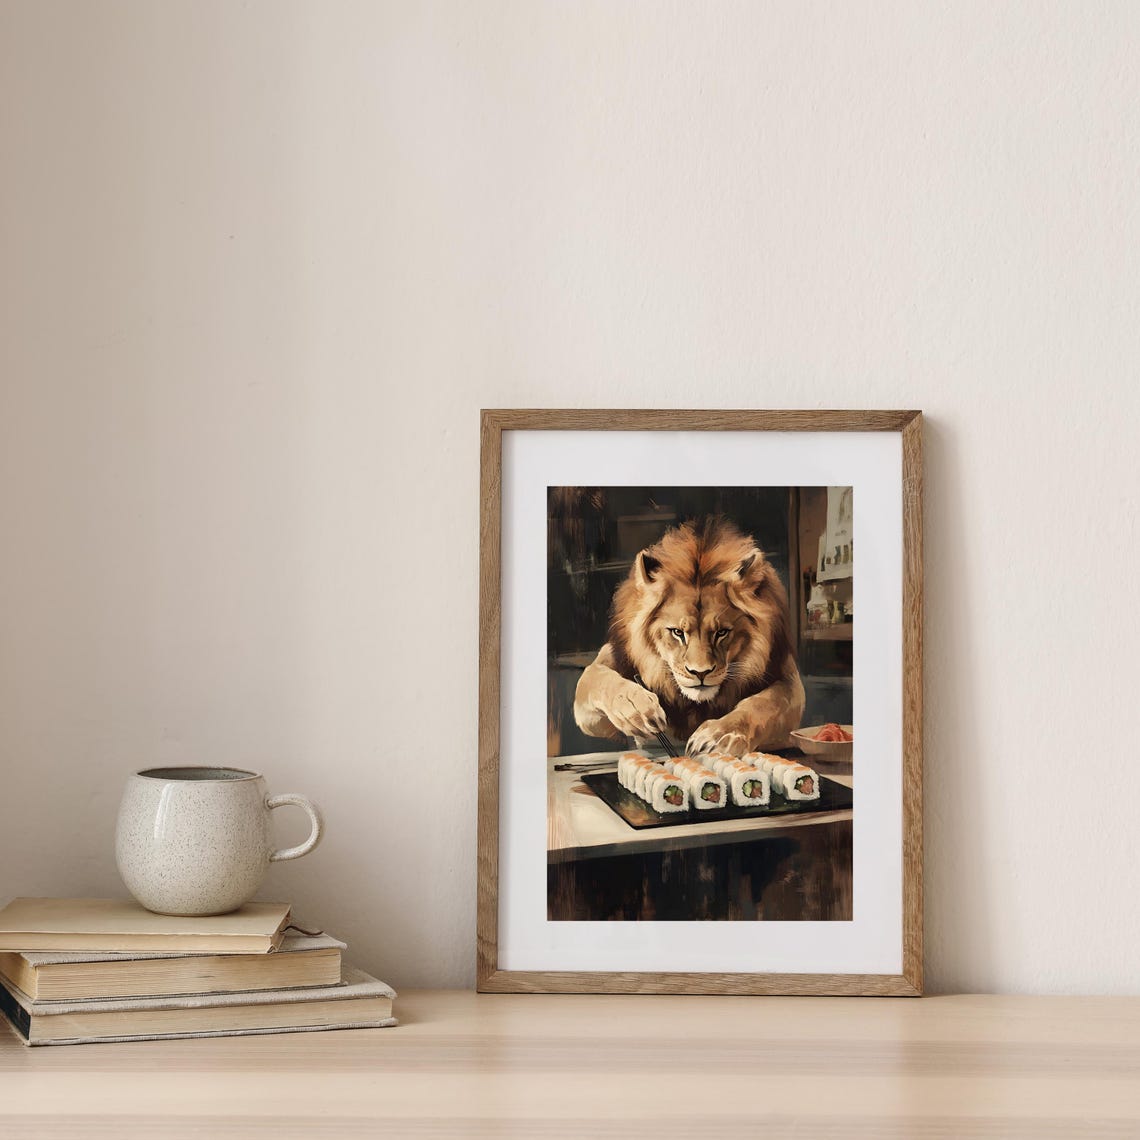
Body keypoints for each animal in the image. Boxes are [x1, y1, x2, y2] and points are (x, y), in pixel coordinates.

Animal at [573, 518, 805, 756]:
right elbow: (597, 679)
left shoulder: (789, 680)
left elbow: (763, 703)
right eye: (677, 632)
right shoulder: (605, 667)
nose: (700, 673)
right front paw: (637, 708)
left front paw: (718, 735)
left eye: (721, 632)